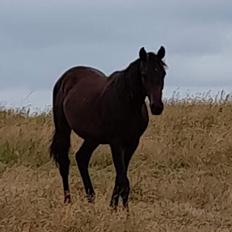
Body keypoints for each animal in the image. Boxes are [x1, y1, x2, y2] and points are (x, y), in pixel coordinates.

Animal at [50, 46, 167, 209]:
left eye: (163, 73)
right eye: (144, 74)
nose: (157, 107)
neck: (127, 103)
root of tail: (64, 78)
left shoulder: (132, 143)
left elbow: (120, 178)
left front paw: (113, 208)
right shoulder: (116, 143)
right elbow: (123, 180)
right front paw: (124, 212)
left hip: (92, 138)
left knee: (81, 158)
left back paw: (91, 199)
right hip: (63, 129)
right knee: (64, 162)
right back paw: (68, 201)